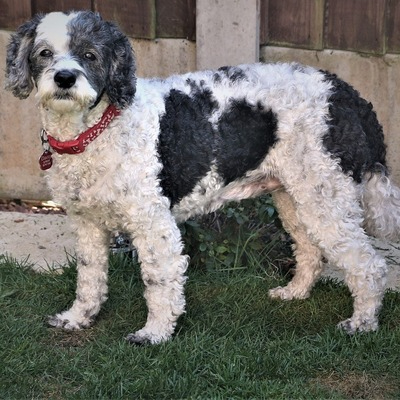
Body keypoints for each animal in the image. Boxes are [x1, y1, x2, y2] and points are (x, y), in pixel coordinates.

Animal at [5, 10, 400, 346]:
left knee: (369, 265)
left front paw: (154, 333)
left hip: (327, 197)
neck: (97, 130)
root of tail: (349, 95)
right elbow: (88, 278)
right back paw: (295, 292)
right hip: (295, 196)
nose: (64, 78)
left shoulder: (153, 224)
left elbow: (160, 281)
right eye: (44, 53)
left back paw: (362, 323)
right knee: (310, 249)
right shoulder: (87, 223)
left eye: (89, 55)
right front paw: (78, 318)